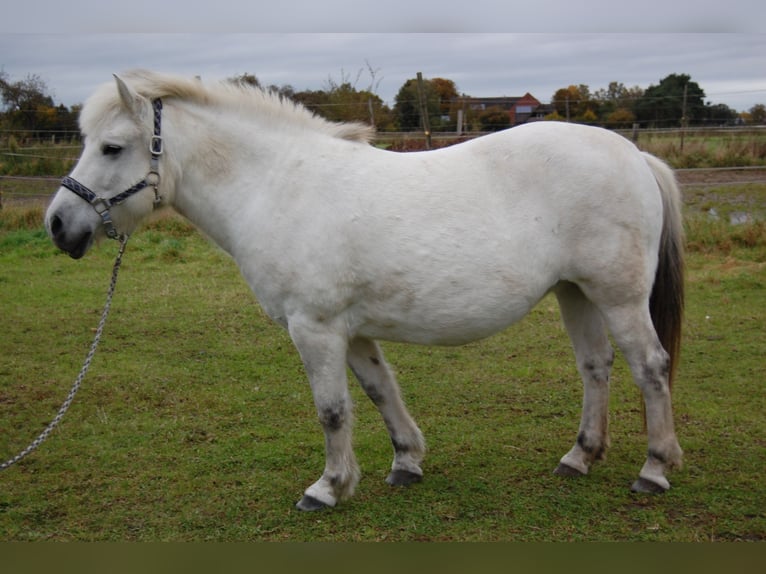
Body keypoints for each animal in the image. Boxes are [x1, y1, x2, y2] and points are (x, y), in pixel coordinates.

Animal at [45, 72, 688, 512]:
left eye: (111, 147)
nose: (57, 224)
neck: (278, 187)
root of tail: (634, 154)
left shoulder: (314, 328)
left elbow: (332, 410)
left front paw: (327, 487)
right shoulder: (349, 332)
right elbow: (380, 392)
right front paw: (406, 462)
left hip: (618, 297)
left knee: (651, 368)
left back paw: (654, 470)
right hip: (575, 293)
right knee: (596, 367)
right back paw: (579, 457)